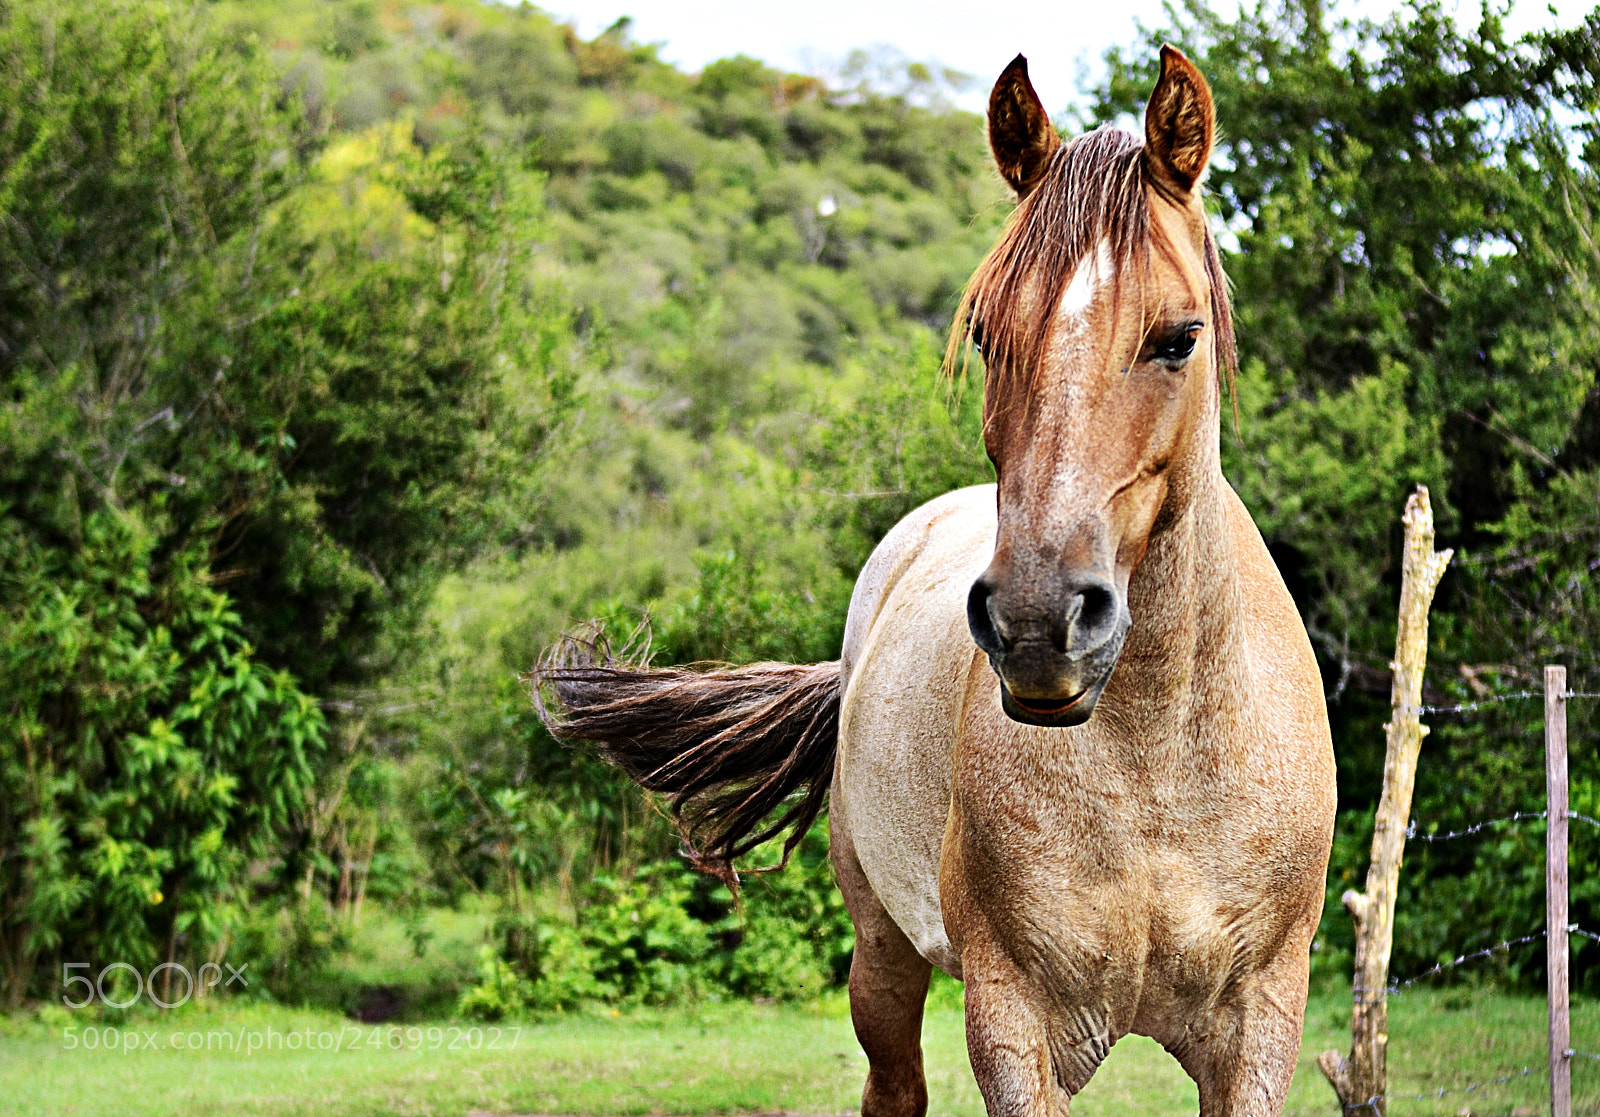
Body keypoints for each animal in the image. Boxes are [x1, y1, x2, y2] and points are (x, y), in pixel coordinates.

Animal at [539, 46, 1336, 1117]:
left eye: (1179, 336)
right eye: (990, 336)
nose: (1040, 621)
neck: (1161, 770)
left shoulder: (1260, 1028)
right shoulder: (1012, 1020)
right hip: (882, 956)